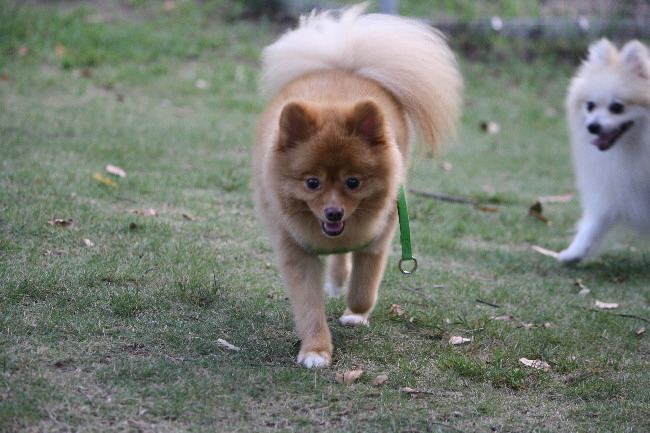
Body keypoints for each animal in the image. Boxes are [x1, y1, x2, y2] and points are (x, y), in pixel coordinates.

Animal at [253, 4, 461, 368]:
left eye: (353, 182)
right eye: (312, 183)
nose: (334, 213)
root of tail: (345, 66)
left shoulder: (382, 231)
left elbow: (364, 288)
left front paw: (355, 313)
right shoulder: (296, 252)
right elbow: (309, 307)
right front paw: (316, 350)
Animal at [558, 38, 650, 263]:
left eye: (617, 107)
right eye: (590, 106)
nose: (592, 126)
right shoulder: (615, 185)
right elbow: (596, 222)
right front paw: (574, 252)